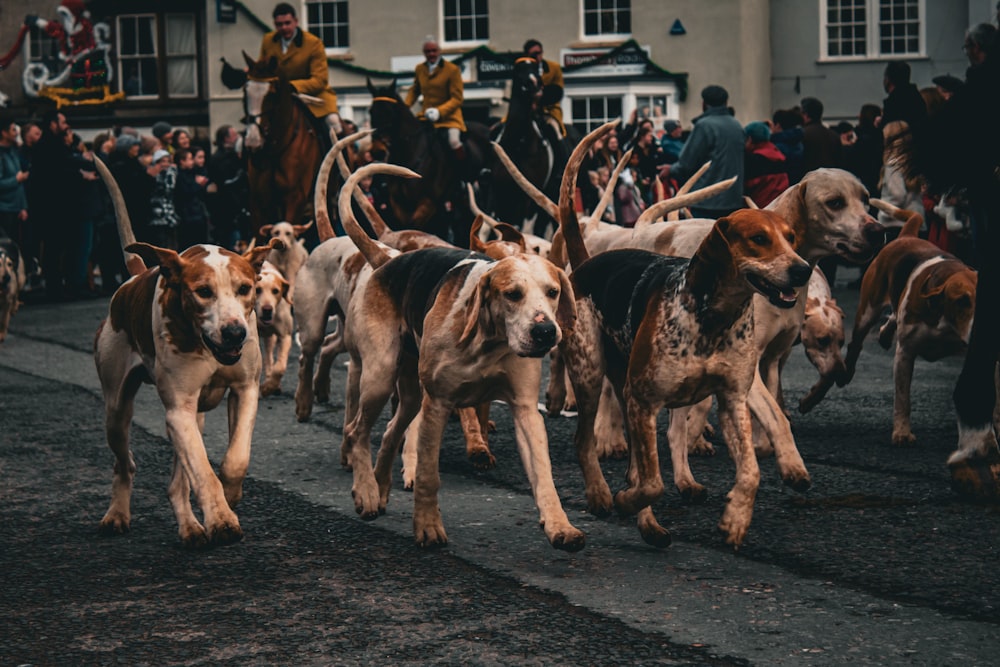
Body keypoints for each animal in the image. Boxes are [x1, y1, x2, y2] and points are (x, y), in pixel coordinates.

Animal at [243, 51, 330, 240]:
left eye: (272, 93)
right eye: (245, 91)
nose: (253, 141)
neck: (275, 150)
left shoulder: (295, 198)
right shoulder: (258, 202)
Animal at [368, 76, 492, 248]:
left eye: (391, 111)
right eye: (371, 111)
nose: (377, 151)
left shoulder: (427, 203)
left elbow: (413, 227)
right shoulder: (398, 203)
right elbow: (405, 227)